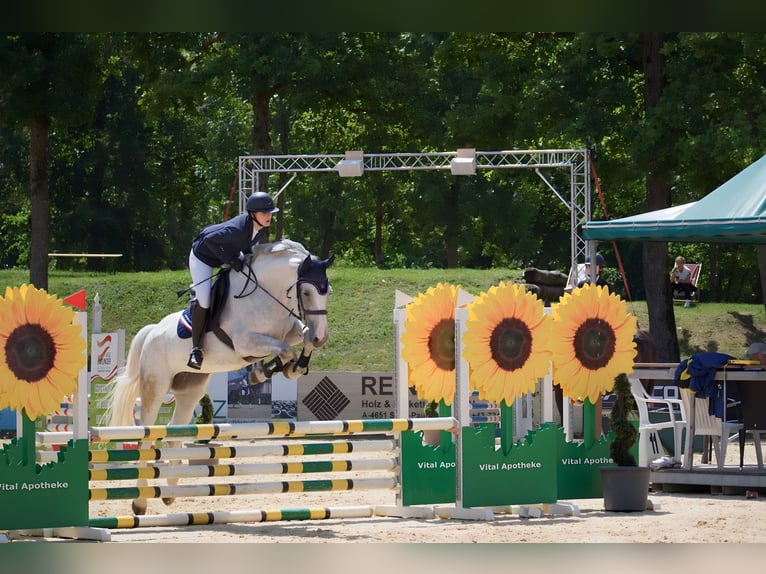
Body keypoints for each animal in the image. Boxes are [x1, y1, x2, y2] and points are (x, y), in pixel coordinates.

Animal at [106, 238, 334, 516]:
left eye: (327, 291)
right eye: (307, 292)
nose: (322, 337)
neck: (267, 294)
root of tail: (152, 331)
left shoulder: (289, 330)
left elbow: (301, 337)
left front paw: (293, 367)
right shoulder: (246, 343)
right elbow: (284, 349)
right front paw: (266, 371)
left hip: (190, 389)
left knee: (174, 432)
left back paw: (169, 493)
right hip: (155, 386)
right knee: (147, 437)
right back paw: (139, 503)